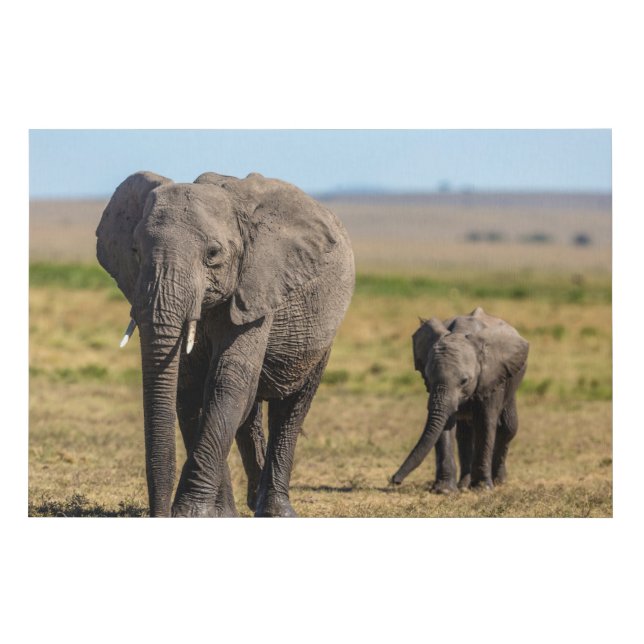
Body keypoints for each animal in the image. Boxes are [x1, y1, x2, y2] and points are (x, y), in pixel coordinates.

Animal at [96, 171, 354, 517]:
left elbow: (226, 383)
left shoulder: (257, 288)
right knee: (249, 412)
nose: (159, 514)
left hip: (322, 332)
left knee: (291, 406)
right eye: (135, 250)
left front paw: (190, 514)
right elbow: (190, 389)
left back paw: (276, 511)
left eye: (213, 254)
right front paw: (218, 515)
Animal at [391, 307, 528, 492]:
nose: (394, 480)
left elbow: (486, 421)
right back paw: (463, 485)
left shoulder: (491, 376)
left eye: (464, 381)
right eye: (428, 377)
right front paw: (444, 490)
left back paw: (499, 482)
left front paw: (482, 489)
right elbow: (445, 424)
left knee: (508, 428)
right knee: (464, 435)